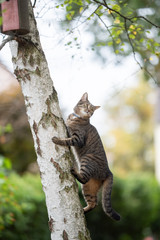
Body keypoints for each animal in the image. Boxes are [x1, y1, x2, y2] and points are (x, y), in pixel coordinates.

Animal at [52, 92, 120, 221]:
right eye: (87, 105)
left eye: (92, 110)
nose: (89, 111)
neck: (76, 117)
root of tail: (109, 171)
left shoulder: (78, 138)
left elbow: (66, 139)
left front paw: (57, 139)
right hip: (89, 187)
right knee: (94, 203)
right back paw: (83, 211)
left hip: (87, 159)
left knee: (83, 179)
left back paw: (74, 171)